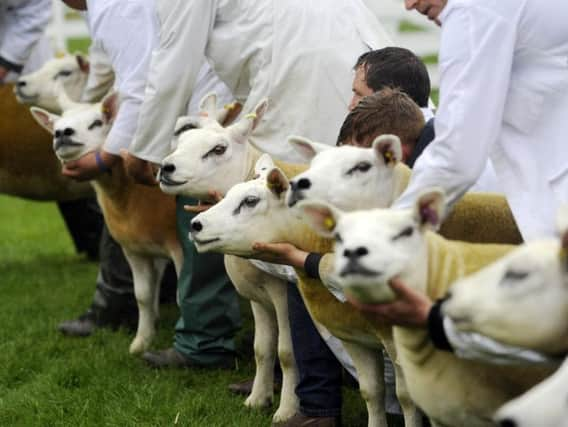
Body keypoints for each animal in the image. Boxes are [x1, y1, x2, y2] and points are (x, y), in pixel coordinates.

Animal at [28, 94, 182, 358]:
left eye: (96, 123)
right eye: (56, 126)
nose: (62, 133)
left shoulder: (180, 247)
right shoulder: (135, 250)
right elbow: (143, 296)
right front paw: (142, 341)